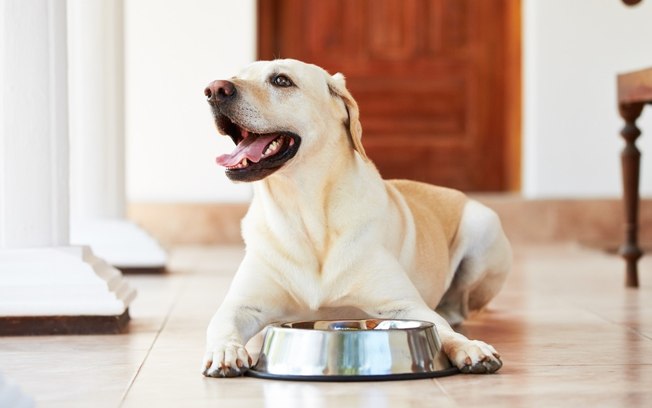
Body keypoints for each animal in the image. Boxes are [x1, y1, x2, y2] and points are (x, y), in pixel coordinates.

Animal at [201, 59, 512, 378]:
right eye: (237, 75)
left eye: (281, 80)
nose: (214, 89)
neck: (305, 213)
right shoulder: (241, 306)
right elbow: (222, 326)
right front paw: (225, 351)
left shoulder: (405, 305)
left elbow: (443, 329)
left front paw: (470, 347)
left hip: (484, 227)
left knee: (459, 308)